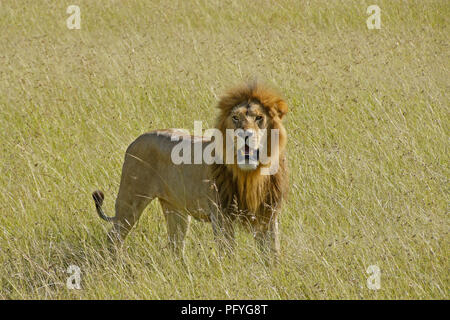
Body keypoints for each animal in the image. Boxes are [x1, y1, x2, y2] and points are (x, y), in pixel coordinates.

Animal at [92, 81, 288, 262]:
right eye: (235, 118)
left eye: (259, 118)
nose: (244, 135)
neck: (249, 175)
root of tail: (135, 141)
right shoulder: (221, 215)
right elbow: (228, 253)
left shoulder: (268, 215)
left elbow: (273, 252)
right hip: (130, 201)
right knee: (114, 237)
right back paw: (116, 265)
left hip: (175, 209)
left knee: (175, 246)